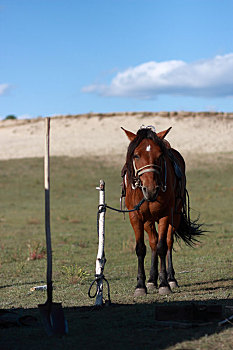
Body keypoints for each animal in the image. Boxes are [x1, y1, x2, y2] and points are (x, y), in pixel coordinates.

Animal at [121, 126, 203, 296]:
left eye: (159, 156)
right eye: (136, 155)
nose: (151, 189)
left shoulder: (166, 214)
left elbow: (162, 247)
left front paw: (164, 283)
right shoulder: (136, 217)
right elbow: (141, 248)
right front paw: (141, 285)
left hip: (175, 215)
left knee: (168, 242)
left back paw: (171, 279)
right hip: (148, 220)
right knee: (152, 242)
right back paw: (152, 280)